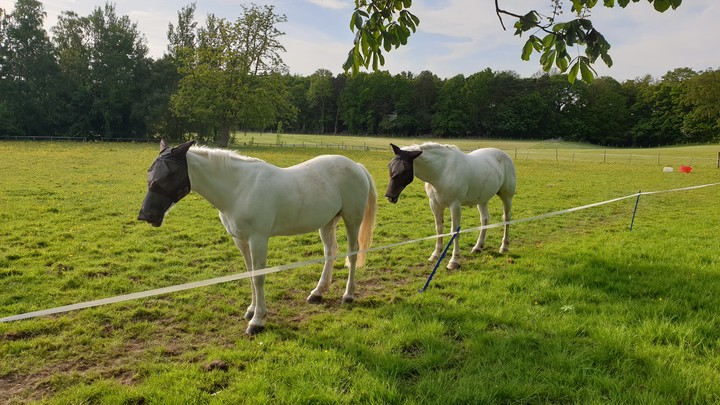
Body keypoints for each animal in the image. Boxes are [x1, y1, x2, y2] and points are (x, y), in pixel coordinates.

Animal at [386, 142, 516, 268]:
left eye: (404, 169)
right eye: (390, 166)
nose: (390, 196)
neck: (441, 172)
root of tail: (505, 155)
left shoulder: (455, 206)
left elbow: (454, 231)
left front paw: (454, 261)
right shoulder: (435, 205)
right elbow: (439, 228)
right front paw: (435, 254)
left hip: (507, 197)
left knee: (506, 218)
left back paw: (504, 247)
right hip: (482, 200)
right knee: (485, 220)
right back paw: (478, 247)